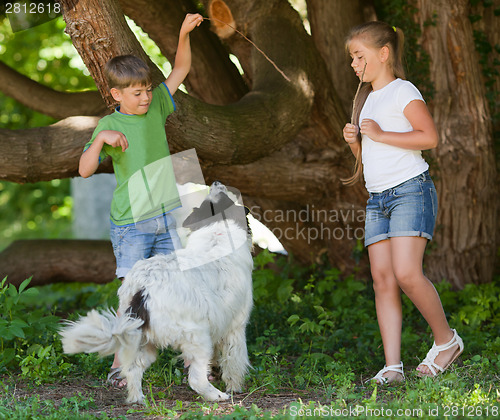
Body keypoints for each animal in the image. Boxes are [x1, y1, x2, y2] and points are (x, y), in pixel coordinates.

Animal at [60, 182, 254, 406]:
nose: (216, 183)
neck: (217, 230)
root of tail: (143, 290)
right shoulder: (236, 326)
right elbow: (234, 361)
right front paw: (235, 387)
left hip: (142, 340)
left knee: (133, 369)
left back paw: (138, 399)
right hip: (197, 338)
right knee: (195, 379)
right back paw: (217, 396)